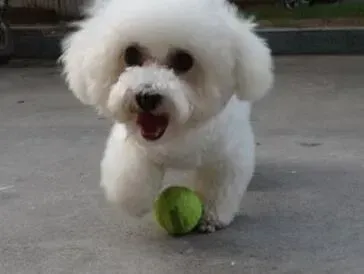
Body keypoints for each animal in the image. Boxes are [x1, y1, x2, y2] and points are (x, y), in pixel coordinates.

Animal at [61, 0, 272, 232]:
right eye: (130, 54)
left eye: (184, 60)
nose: (146, 96)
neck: (177, 132)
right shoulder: (135, 145)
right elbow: (129, 175)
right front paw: (134, 201)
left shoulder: (225, 155)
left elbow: (219, 185)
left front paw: (211, 217)